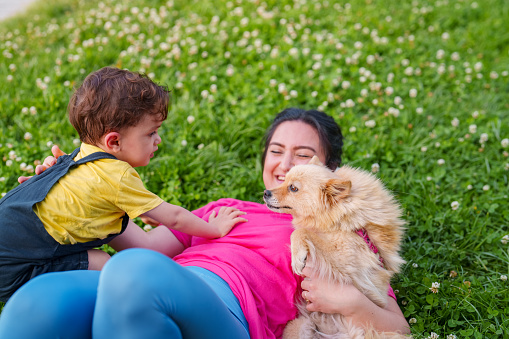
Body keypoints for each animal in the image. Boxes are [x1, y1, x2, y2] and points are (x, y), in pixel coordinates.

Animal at [264, 157, 406, 339]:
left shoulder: (345, 260)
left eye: (293, 188)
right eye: (283, 180)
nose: (265, 192)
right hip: (300, 326)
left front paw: (298, 258)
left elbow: (301, 232)